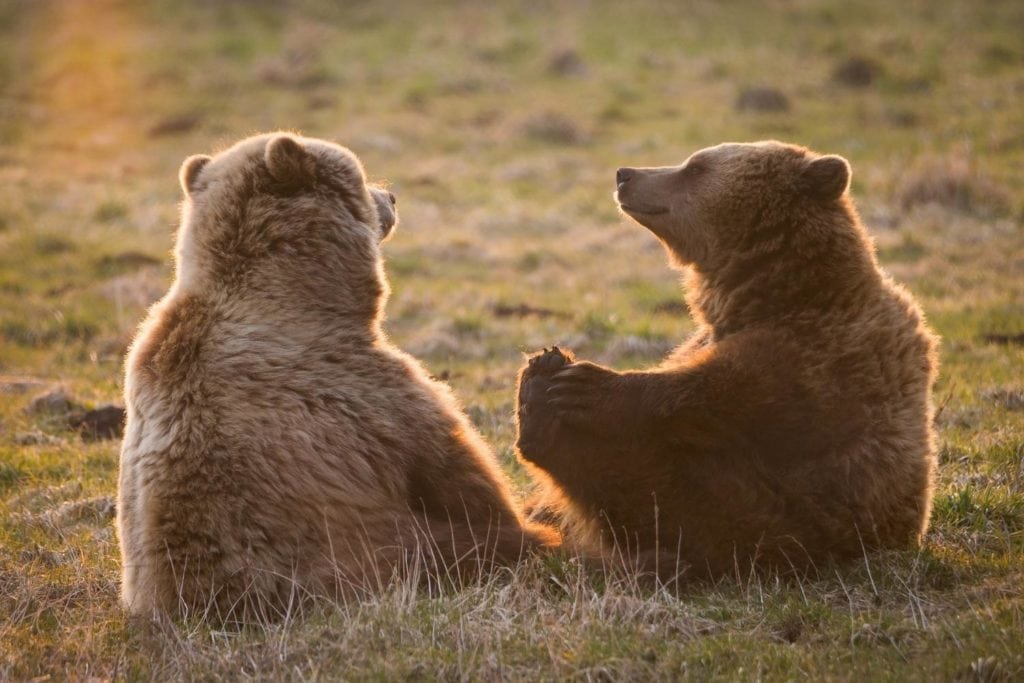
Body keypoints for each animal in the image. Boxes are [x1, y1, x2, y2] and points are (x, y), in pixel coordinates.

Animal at [117, 133, 559, 622]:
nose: (391, 197)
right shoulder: (375, 395)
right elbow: (466, 477)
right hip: (382, 552)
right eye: (362, 177)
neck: (297, 298)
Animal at [515, 141, 939, 581]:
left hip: (773, 517)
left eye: (695, 167)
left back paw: (544, 404)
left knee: (647, 486)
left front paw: (587, 385)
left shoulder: (833, 355)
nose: (625, 174)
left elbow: (738, 391)